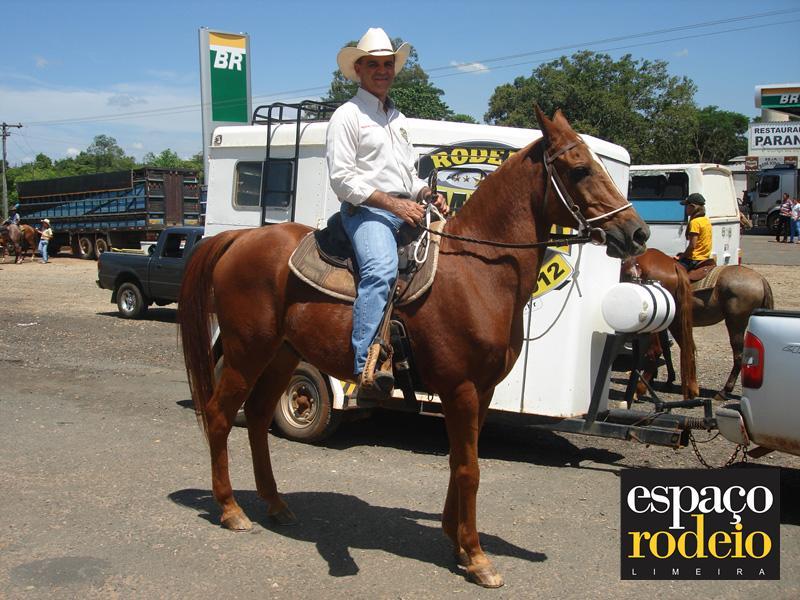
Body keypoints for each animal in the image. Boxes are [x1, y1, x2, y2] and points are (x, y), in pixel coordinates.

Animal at [177, 108, 649, 588]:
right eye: (579, 169)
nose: (637, 233)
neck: (478, 273)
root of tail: (239, 239)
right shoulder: (460, 389)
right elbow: (470, 468)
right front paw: (477, 557)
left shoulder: (481, 391)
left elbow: (460, 461)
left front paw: (457, 543)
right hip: (246, 351)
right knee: (219, 415)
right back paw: (231, 509)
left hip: (281, 355)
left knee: (255, 418)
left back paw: (275, 504)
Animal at [621, 248, 774, 401]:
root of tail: (761, 280)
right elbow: (667, 350)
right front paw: (668, 379)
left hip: (735, 323)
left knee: (739, 356)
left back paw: (724, 391)